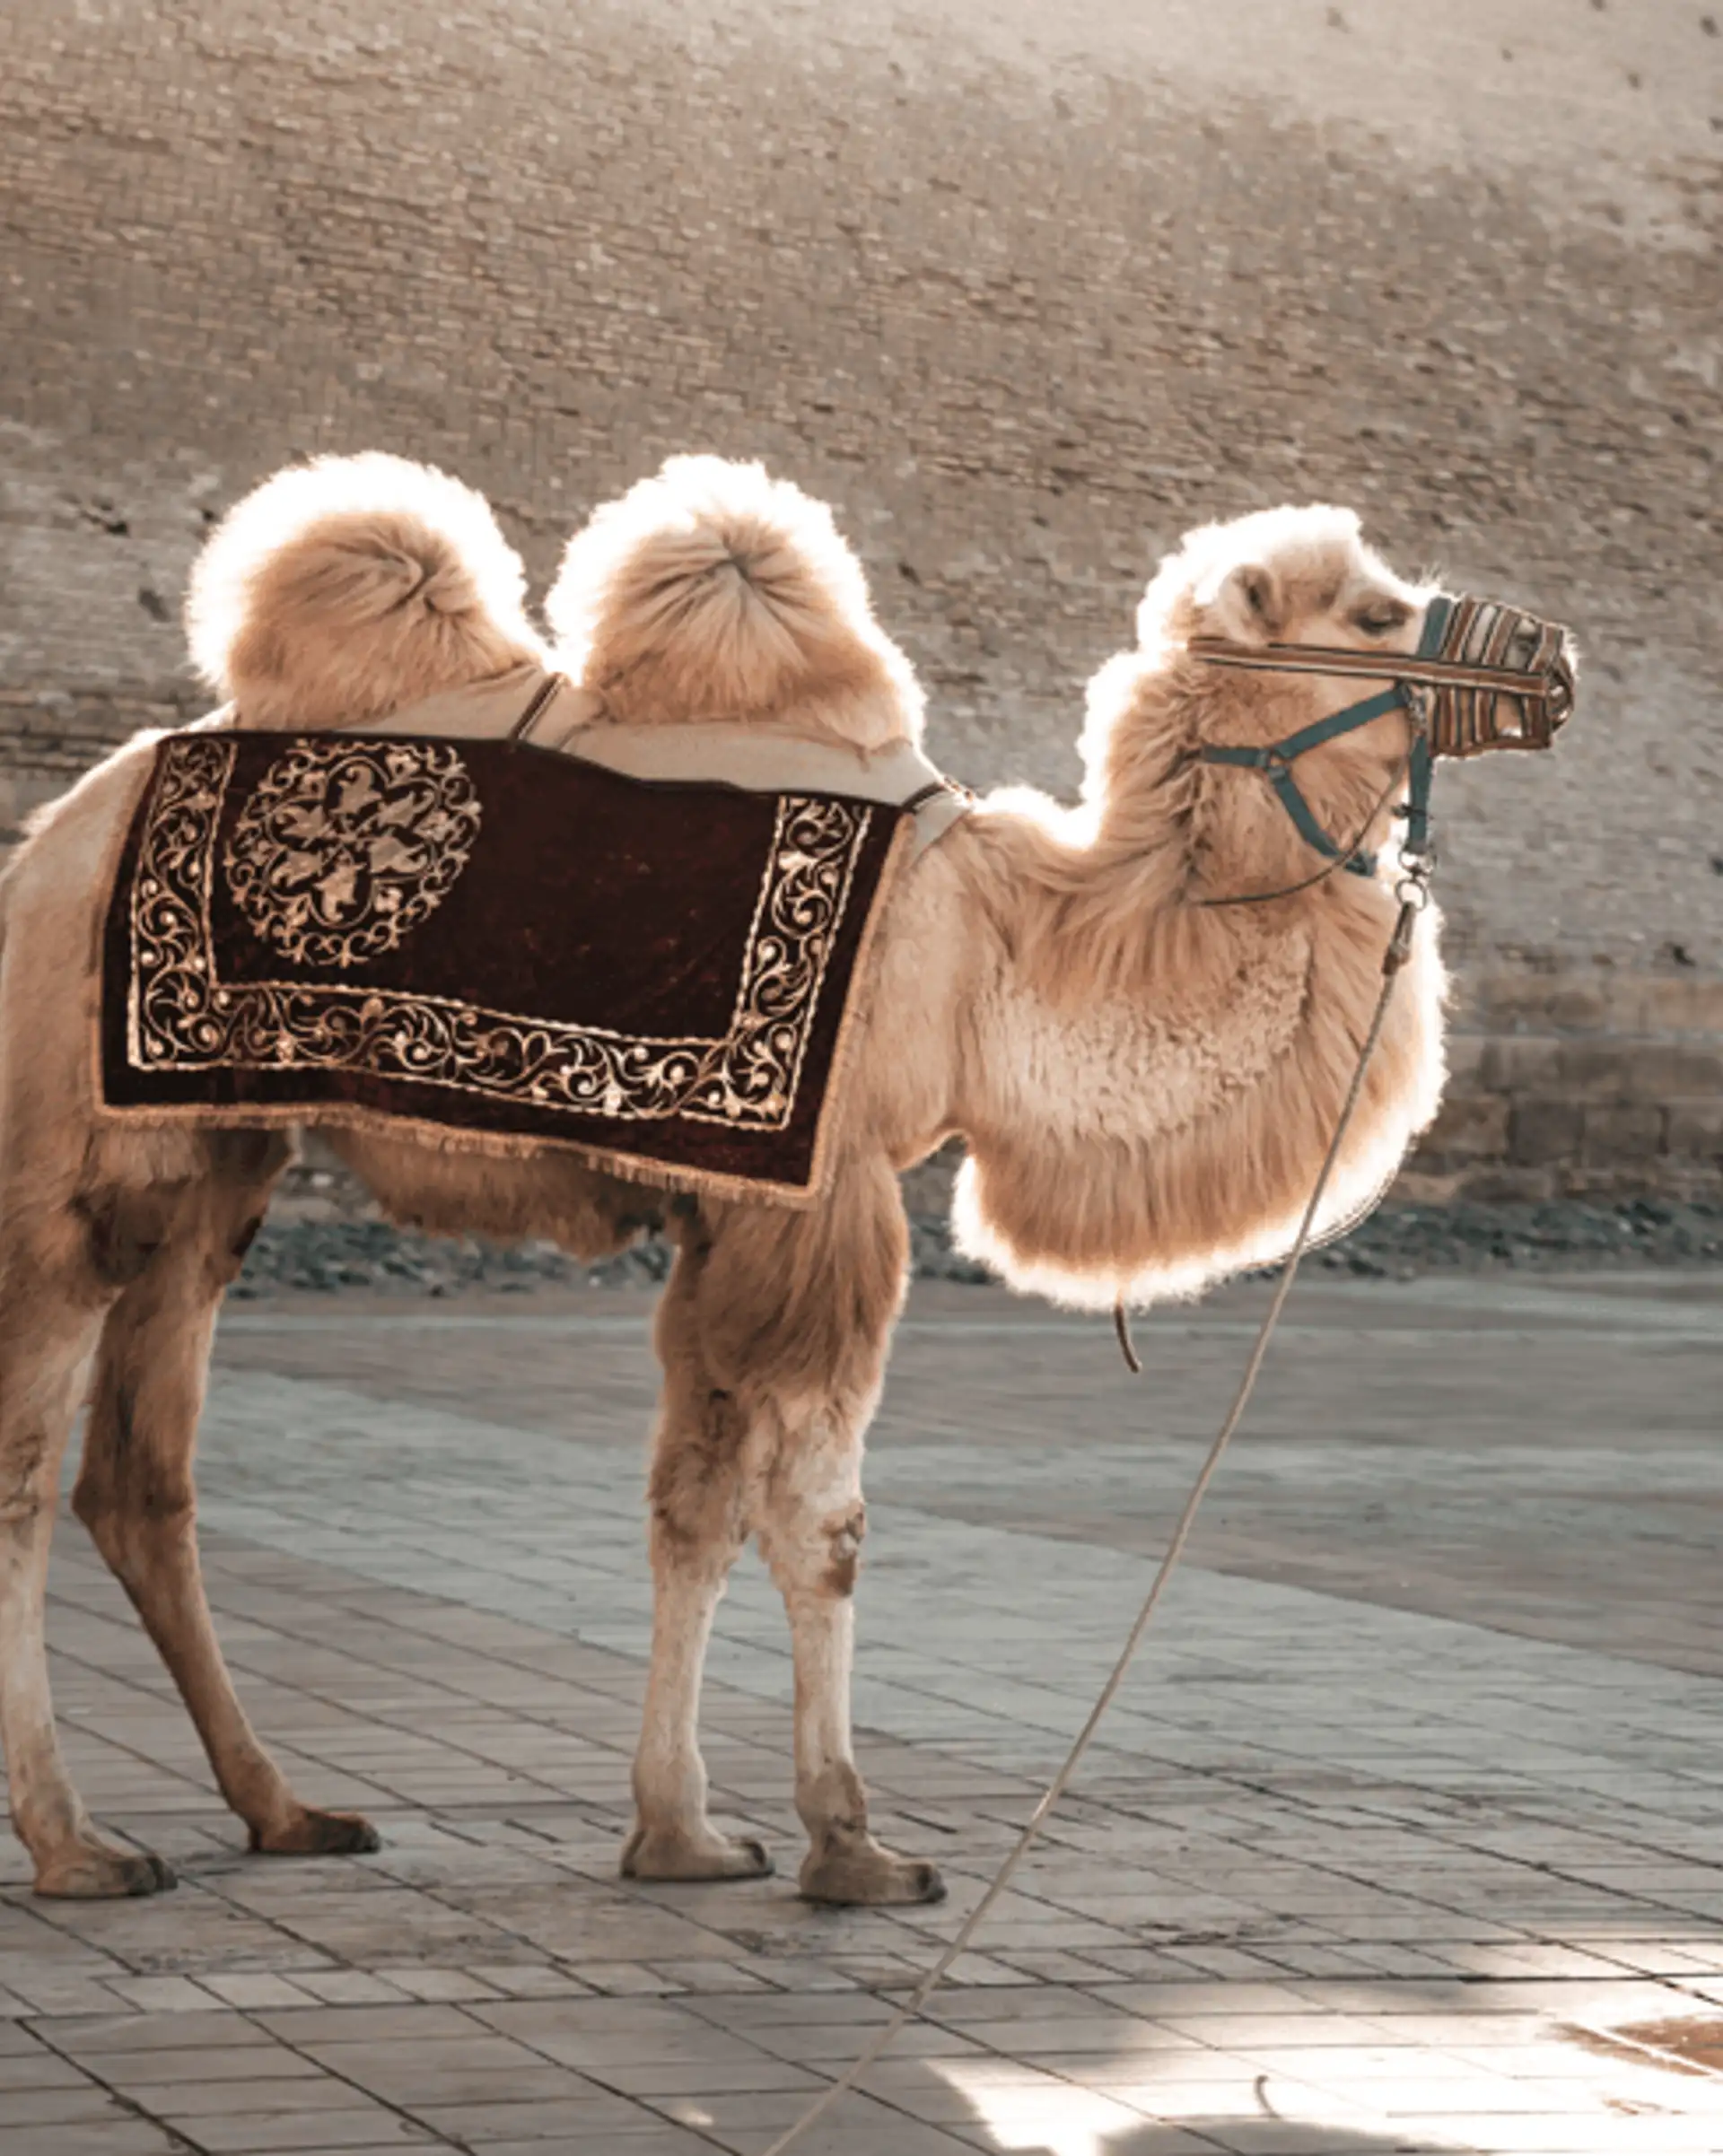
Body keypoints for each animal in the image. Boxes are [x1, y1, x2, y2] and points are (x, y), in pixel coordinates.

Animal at [0, 452, 1450, 1904]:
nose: (1509, 666)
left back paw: (286, 1810)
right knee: (24, 1457)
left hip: (213, 1164)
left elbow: (692, 1505)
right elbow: (822, 1523)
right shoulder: (828, 1202)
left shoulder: (733, 1220)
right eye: (1379, 612)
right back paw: (78, 1843)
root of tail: (47, 840)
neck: (986, 953)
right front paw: (855, 1844)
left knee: (139, 1474)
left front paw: (679, 1832)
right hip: (71, 1159)